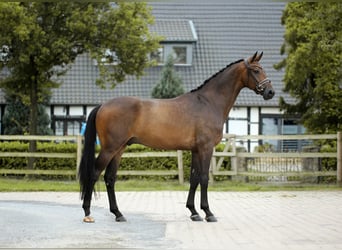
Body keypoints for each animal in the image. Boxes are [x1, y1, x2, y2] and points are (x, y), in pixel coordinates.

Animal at [78, 51, 276, 224]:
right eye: (256, 70)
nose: (270, 92)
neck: (208, 102)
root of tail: (103, 105)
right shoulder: (206, 148)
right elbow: (204, 178)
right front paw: (208, 213)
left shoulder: (196, 150)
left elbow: (194, 179)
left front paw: (194, 212)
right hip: (110, 148)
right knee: (94, 173)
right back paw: (87, 213)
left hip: (119, 149)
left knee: (109, 178)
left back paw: (118, 214)